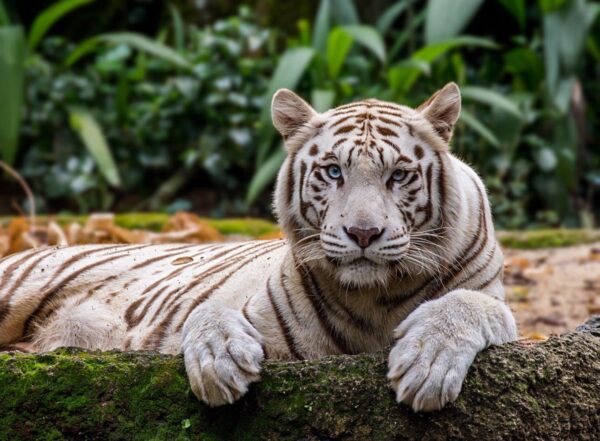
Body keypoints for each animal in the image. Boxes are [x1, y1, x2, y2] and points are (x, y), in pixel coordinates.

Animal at [0, 83, 516, 412]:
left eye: (399, 175)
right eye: (334, 171)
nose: (364, 234)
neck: (376, 297)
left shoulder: (494, 303)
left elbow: (466, 305)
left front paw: (427, 364)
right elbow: (207, 310)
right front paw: (220, 362)